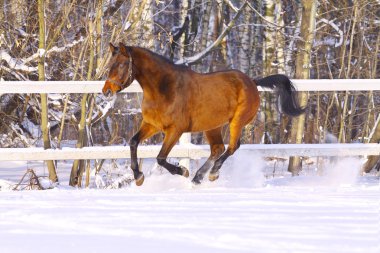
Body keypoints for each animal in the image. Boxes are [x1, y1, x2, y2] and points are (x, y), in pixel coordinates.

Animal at [102, 43, 304, 186]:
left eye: (121, 64)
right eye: (109, 64)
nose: (106, 91)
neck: (164, 89)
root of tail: (252, 82)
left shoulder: (175, 130)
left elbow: (160, 158)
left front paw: (182, 171)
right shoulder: (152, 125)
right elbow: (133, 142)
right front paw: (138, 177)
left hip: (236, 122)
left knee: (232, 147)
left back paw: (211, 174)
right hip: (212, 126)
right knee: (218, 149)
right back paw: (198, 177)